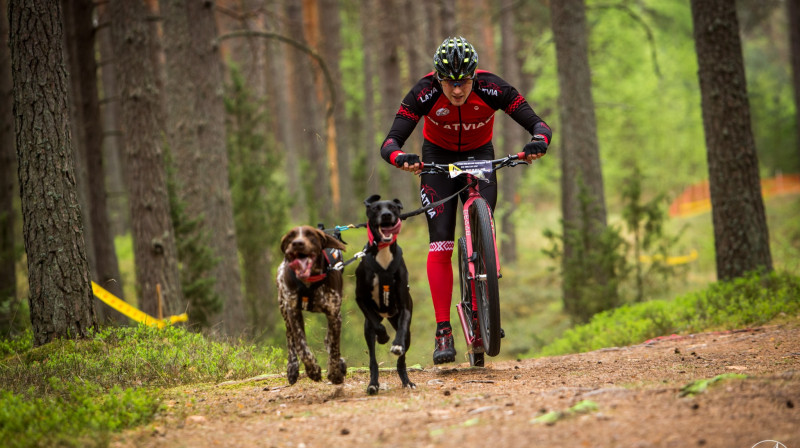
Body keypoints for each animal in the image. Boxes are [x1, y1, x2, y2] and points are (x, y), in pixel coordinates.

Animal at [278, 226, 346, 386]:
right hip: (283, 308)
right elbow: (301, 346)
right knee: (290, 338)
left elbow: (334, 346)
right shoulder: (293, 312)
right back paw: (292, 368)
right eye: (291, 236)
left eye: (310, 235)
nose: (297, 243)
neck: (310, 280)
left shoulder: (334, 313)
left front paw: (335, 373)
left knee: (328, 340)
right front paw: (313, 370)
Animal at [356, 194, 418, 394]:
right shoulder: (361, 299)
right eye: (375, 208)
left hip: (406, 332)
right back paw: (373, 384)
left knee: (401, 360)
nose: (386, 215)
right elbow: (377, 326)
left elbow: (402, 329)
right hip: (367, 330)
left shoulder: (405, 308)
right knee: (373, 360)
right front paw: (383, 337)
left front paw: (396, 344)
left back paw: (407, 380)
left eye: (393, 207)